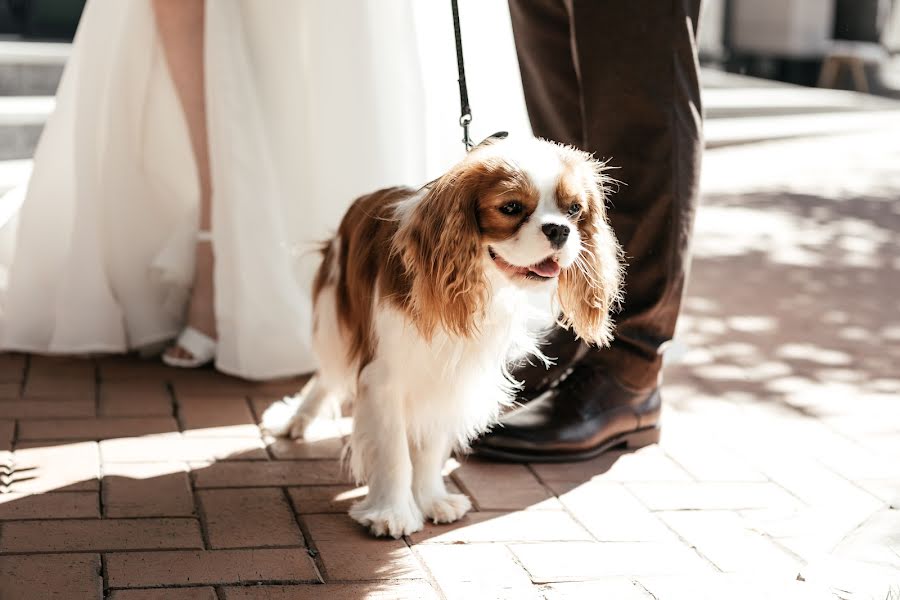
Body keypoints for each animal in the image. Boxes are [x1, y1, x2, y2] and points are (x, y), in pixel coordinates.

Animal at [264, 137, 624, 540]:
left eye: (575, 209)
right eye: (511, 208)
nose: (559, 230)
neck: (479, 279)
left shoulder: (449, 376)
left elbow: (429, 447)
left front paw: (431, 499)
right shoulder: (384, 377)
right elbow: (393, 452)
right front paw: (391, 513)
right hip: (335, 318)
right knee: (327, 372)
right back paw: (296, 419)